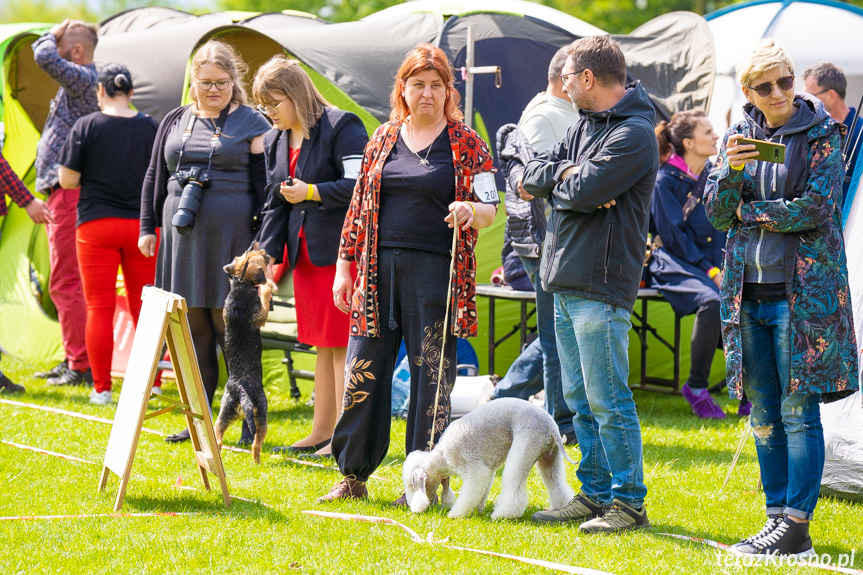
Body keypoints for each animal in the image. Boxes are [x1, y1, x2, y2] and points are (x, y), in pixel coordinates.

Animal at [214, 245, 272, 466]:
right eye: (258, 257)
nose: (261, 246)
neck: (240, 285)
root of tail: (241, 391)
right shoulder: (261, 316)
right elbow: (264, 298)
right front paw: (268, 287)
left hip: (224, 411)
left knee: (217, 437)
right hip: (262, 414)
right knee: (256, 443)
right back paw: (257, 463)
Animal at [404, 398, 572, 520]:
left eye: (412, 486)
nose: (409, 506)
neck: (442, 457)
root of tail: (551, 426)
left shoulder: (474, 470)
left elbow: (469, 494)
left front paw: (456, 514)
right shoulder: (488, 472)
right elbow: (482, 493)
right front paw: (477, 510)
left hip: (525, 446)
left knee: (515, 489)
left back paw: (502, 514)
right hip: (550, 457)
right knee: (557, 486)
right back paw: (560, 508)